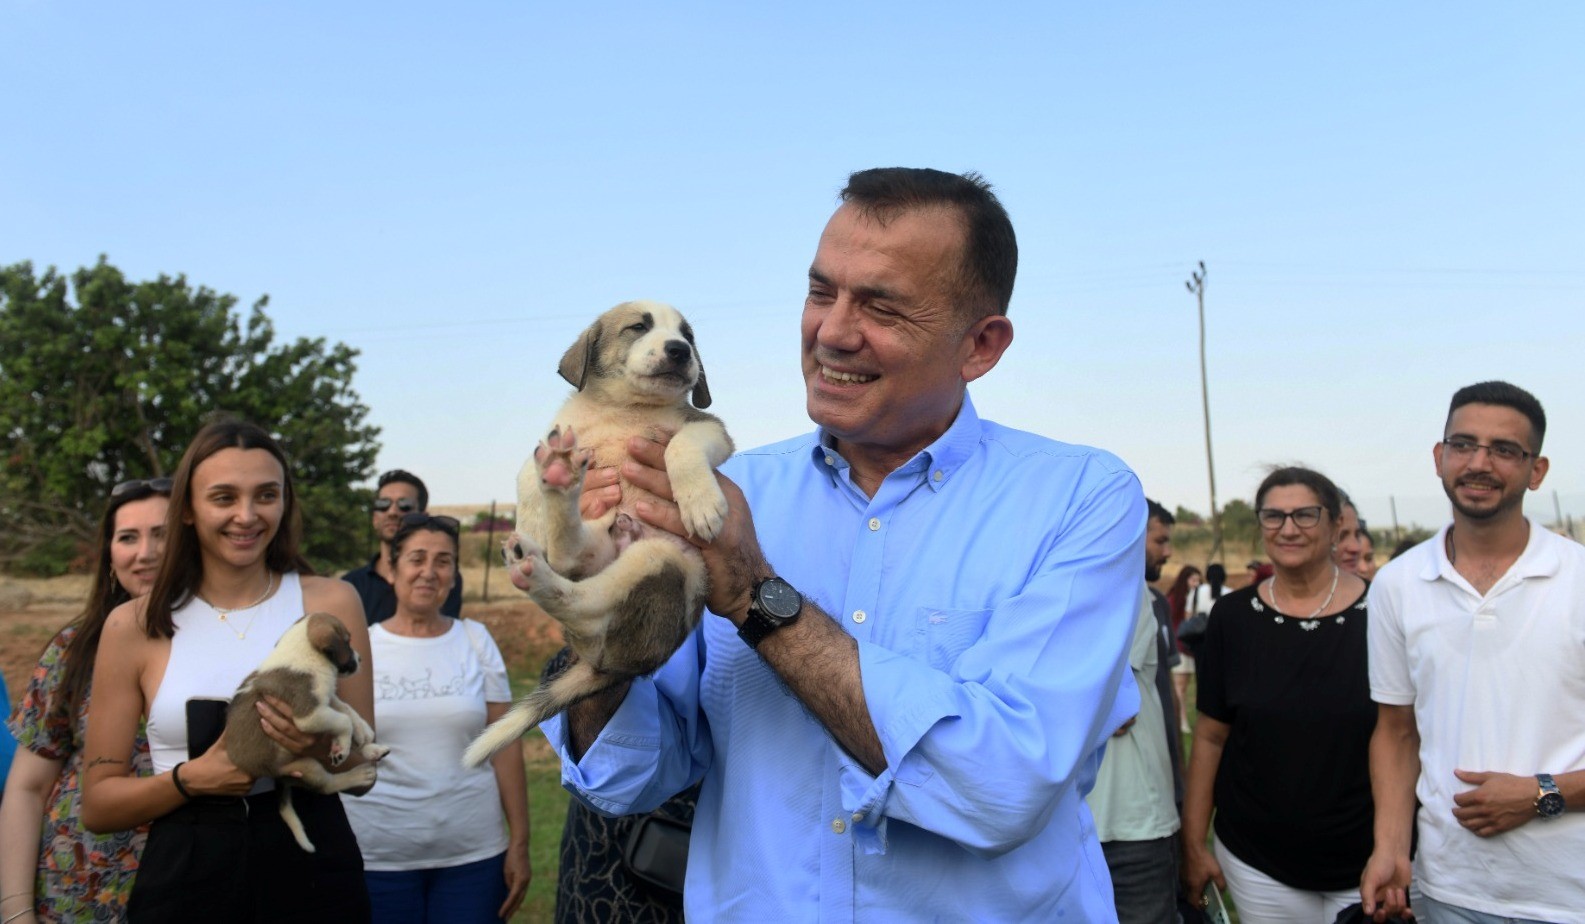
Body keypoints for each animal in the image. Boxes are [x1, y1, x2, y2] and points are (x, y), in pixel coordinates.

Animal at [226, 611, 389, 855]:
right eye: (347, 641)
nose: (360, 660)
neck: (306, 654)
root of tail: (276, 777)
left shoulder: (325, 700)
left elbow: (346, 709)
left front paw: (362, 730)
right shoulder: (308, 715)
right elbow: (343, 721)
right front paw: (342, 747)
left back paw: (373, 750)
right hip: (307, 767)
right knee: (328, 785)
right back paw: (359, 773)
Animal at [459, 301, 729, 767]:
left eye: (688, 337)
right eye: (638, 327)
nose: (679, 351)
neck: (625, 408)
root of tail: (613, 667)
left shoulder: (708, 426)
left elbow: (683, 445)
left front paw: (701, 503)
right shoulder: (555, 436)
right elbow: (524, 473)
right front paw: (531, 515)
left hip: (662, 562)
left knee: (584, 603)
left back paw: (537, 567)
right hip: (609, 544)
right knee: (573, 561)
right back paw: (556, 490)